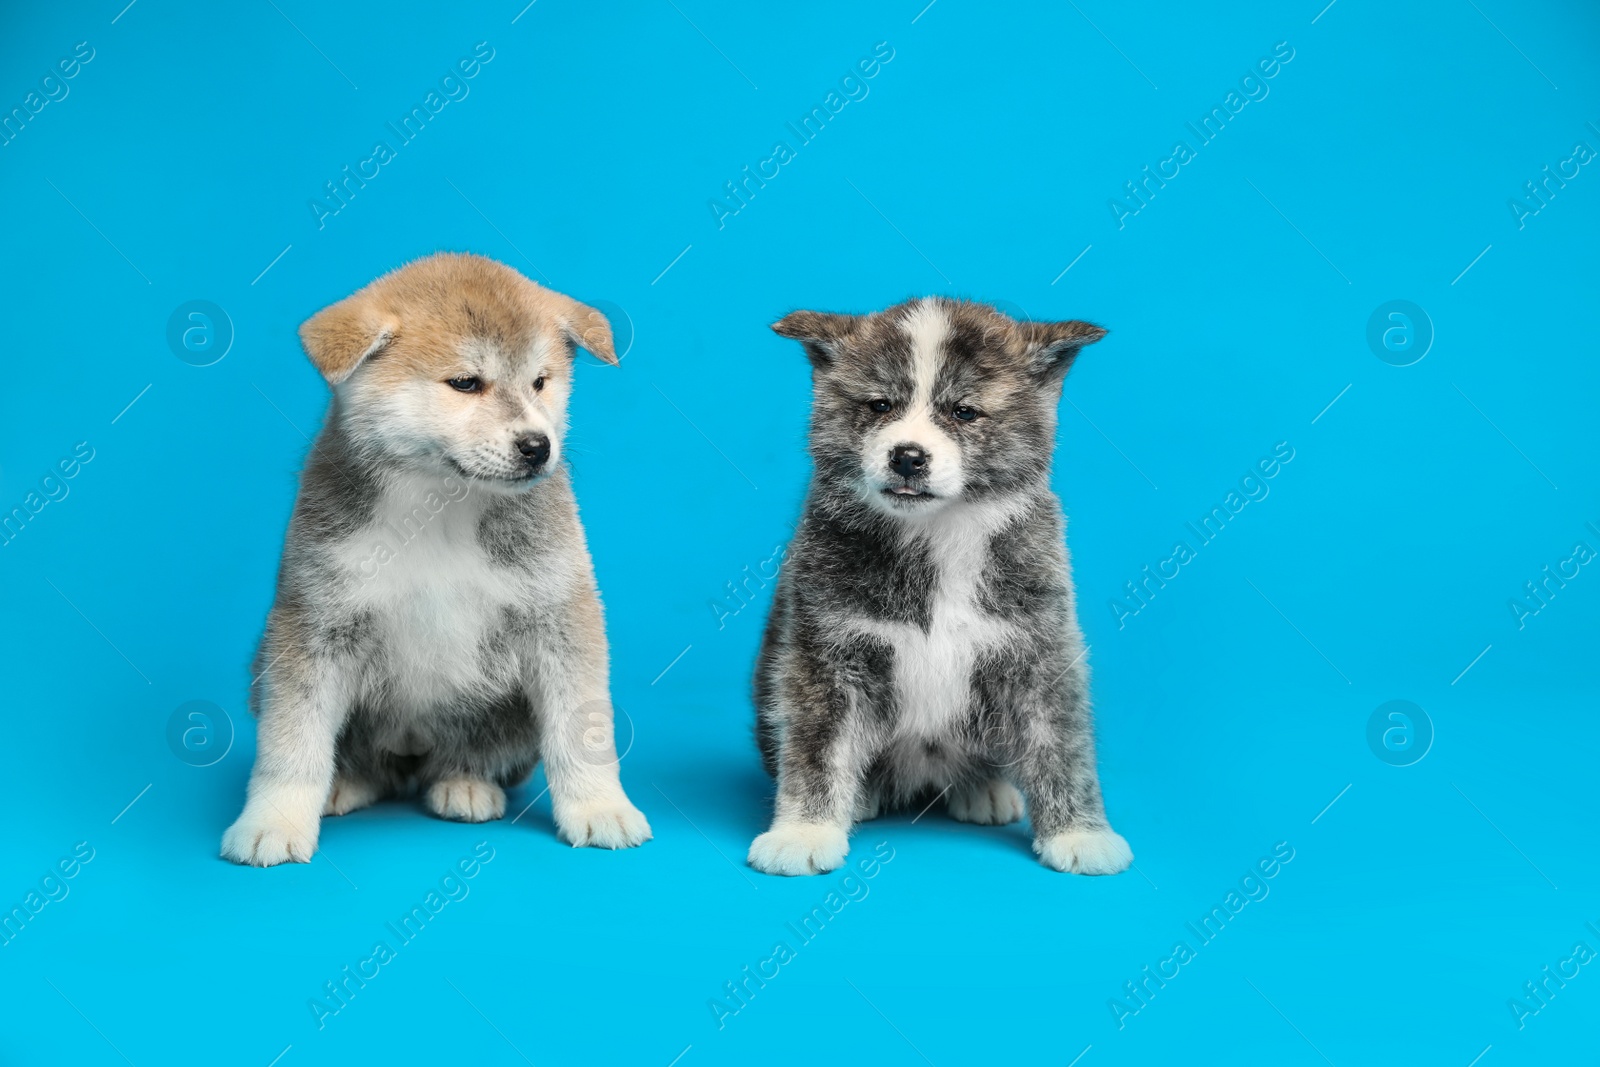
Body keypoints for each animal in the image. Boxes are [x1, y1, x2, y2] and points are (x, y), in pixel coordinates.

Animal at [222, 252, 652, 870]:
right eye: (466, 383)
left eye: (540, 382)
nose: (537, 446)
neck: (440, 504)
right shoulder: (315, 622)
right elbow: (292, 739)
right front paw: (272, 820)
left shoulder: (559, 612)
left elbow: (582, 730)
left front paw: (600, 807)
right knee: (362, 761)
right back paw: (345, 783)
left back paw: (466, 781)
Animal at [752, 299, 1139, 876]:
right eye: (879, 405)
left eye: (963, 412)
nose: (908, 456)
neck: (938, 534)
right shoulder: (825, 652)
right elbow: (815, 744)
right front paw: (803, 831)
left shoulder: (1040, 649)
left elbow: (1060, 743)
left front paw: (1080, 834)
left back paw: (985, 788)